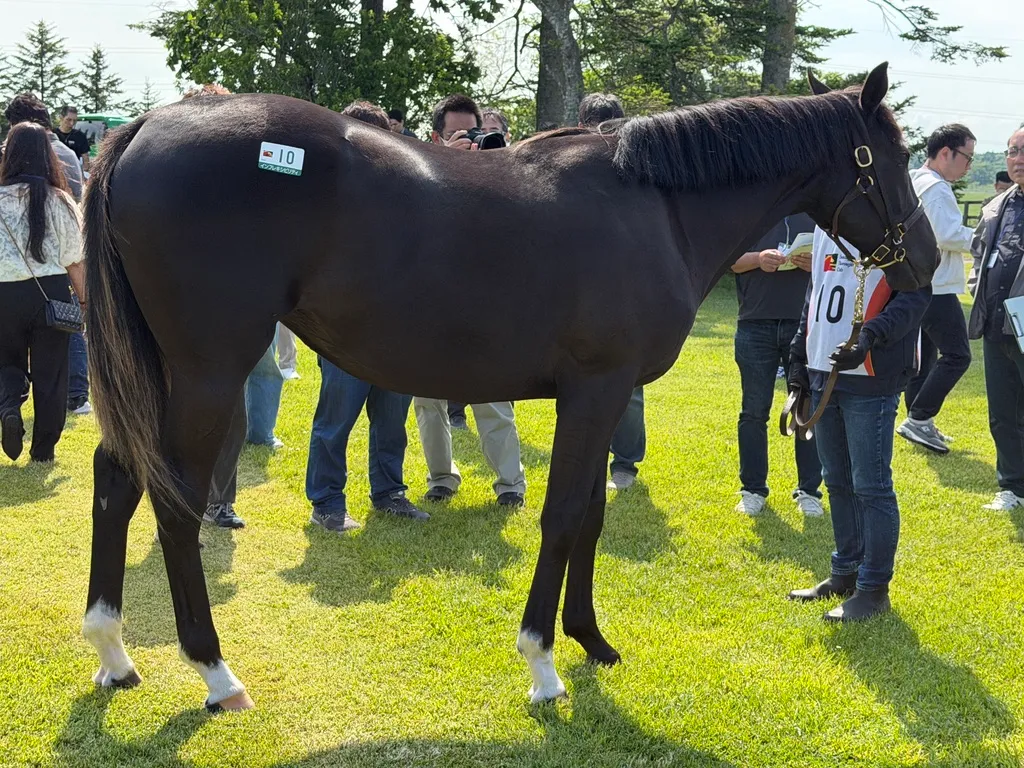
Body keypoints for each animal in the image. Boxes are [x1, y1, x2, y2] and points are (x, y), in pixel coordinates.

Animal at [80, 63, 937, 711]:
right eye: (892, 158)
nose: (925, 260)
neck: (654, 207)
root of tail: (145, 130)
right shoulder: (595, 389)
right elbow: (561, 520)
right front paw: (543, 665)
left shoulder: (599, 396)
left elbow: (590, 516)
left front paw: (591, 640)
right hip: (209, 370)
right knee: (175, 501)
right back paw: (215, 673)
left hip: (162, 372)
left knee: (116, 478)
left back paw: (113, 653)